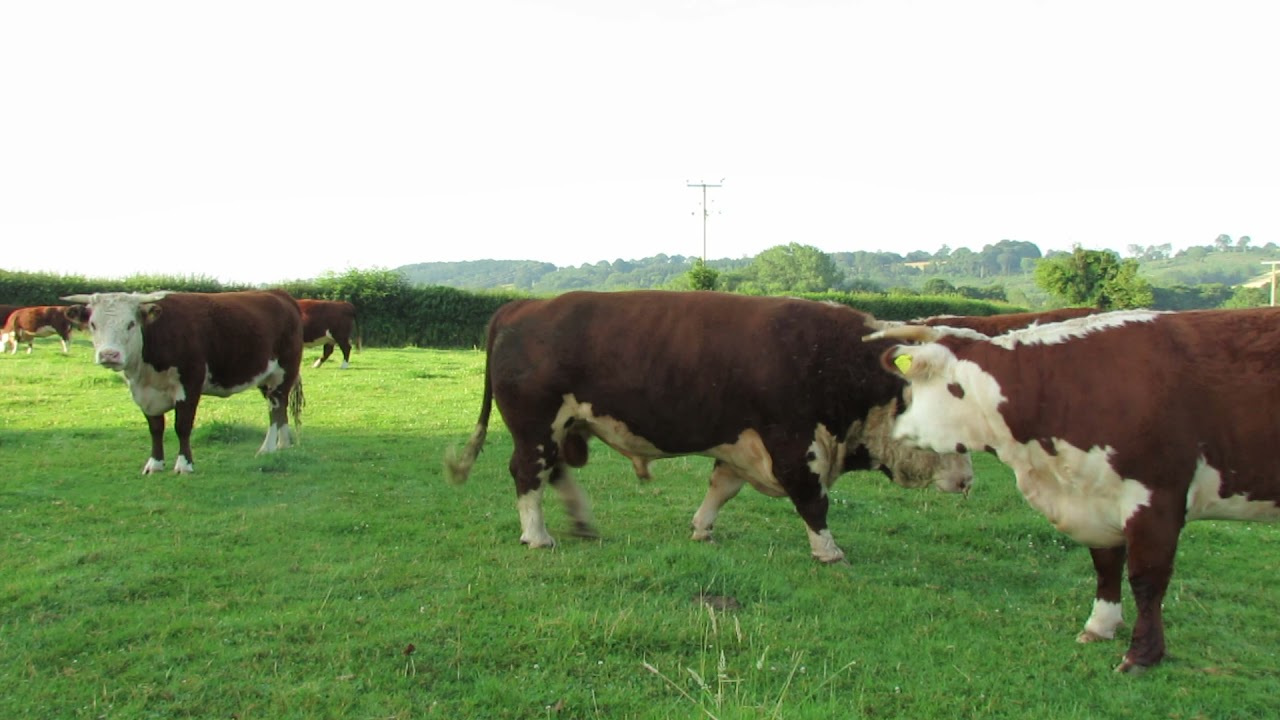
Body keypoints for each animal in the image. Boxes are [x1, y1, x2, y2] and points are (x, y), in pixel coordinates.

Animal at [61, 290, 305, 474]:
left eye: (130, 324)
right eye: (93, 324)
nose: (109, 355)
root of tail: (279, 294)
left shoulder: (189, 385)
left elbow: (182, 426)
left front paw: (184, 465)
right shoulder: (144, 394)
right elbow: (155, 428)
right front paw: (155, 464)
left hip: (284, 373)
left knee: (276, 409)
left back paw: (267, 448)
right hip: (266, 378)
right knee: (280, 410)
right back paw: (283, 443)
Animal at [445, 290, 973, 562]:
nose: (969, 481)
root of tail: (523, 306)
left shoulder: (744, 445)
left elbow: (722, 487)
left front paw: (701, 529)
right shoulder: (793, 445)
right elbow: (813, 500)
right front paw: (829, 550)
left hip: (560, 427)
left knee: (553, 472)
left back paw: (581, 522)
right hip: (536, 425)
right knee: (527, 474)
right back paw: (538, 535)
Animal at [869, 307, 1280, 672]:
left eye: (920, 389)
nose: (897, 432)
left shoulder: (1157, 498)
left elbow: (1147, 580)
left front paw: (1142, 655)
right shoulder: (1098, 496)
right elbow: (1106, 565)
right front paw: (1100, 626)